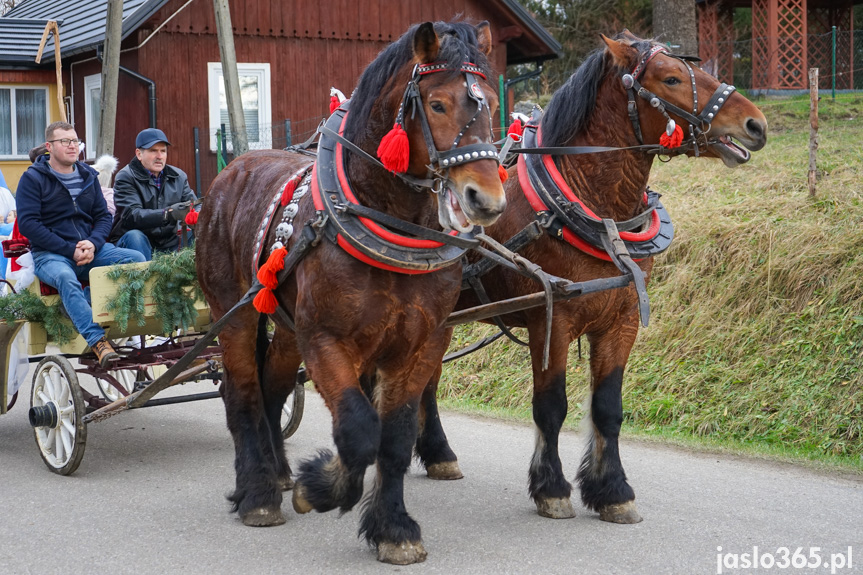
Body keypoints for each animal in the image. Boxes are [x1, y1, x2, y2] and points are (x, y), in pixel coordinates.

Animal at [196, 20, 506, 564]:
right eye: (438, 104)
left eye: (489, 101)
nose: (485, 199)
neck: (385, 220)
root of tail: (230, 171)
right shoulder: (327, 339)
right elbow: (359, 430)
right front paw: (321, 485)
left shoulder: (421, 343)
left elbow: (394, 436)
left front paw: (393, 527)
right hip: (234, 315)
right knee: (244, 394)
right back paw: (257, 492)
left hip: (287, 329)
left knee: (273, 388)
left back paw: (278, 472)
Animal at [418, 33, 768, 524]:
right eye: (671, 78)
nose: (756, 123)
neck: (592, 205)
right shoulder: (552, 321)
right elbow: (551, 407)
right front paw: (551, 489)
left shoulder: (621, 321)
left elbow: (608, 408)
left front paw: (613, 491)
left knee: (424, 378)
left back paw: (437, 455)